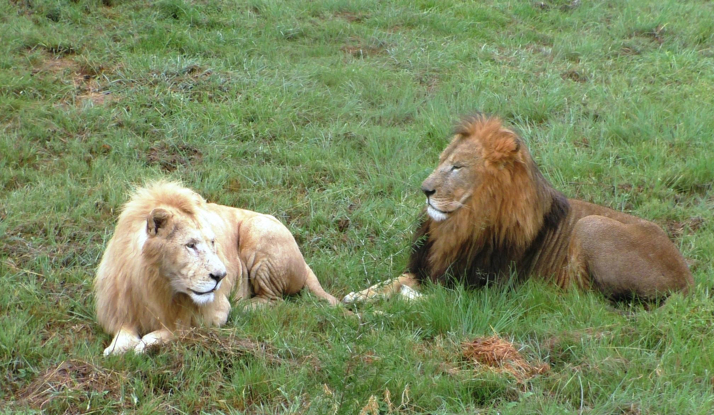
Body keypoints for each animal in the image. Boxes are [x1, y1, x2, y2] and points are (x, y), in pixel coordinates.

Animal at [94, 180, 336, 356]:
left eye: (212, 242)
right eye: (191, 245)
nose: (221, 276)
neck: (156, 283)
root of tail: (304, 261)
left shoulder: (213, 312)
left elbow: (175, 330)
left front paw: (144, 344)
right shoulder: (122, 308)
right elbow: (122, 335)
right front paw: (115, 349)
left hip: (257, 226)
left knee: (274, 299)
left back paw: (243, 306)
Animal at [342, 114, 692, 306]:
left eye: (457, 167)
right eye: (441, 162)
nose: (425, 190)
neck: (461, 224)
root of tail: (687, 280)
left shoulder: (491, 290)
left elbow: (438, 297)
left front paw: (402, 299)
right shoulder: (434, 265)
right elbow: (394, 279)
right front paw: (357, 296)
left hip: (591, 225)